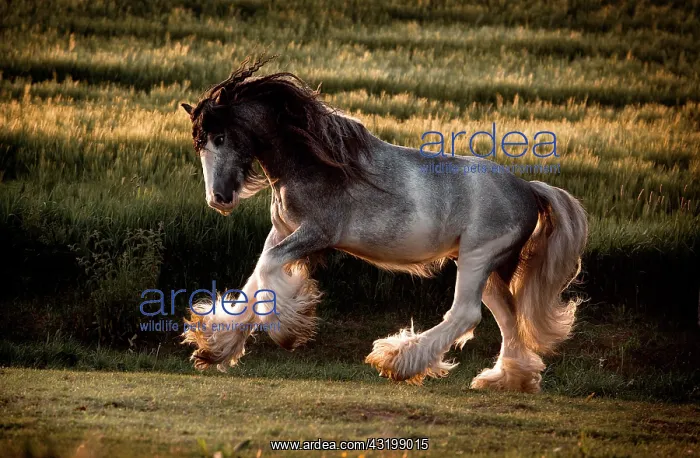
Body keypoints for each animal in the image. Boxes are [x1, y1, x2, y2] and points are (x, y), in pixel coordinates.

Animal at [180, 56, 588, 393]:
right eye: (200, 144)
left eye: (220, 137)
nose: (219, 199)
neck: (314, 163)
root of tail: (529, 188)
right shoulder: (281, 232)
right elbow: (256, 279)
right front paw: (213, 348)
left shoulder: (315, 233)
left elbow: (267, 271)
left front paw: (288, 331)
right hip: (488, 269)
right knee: (509, 318)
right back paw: (505, 380)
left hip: (477, 258)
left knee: (466, 313)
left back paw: (397, 361)